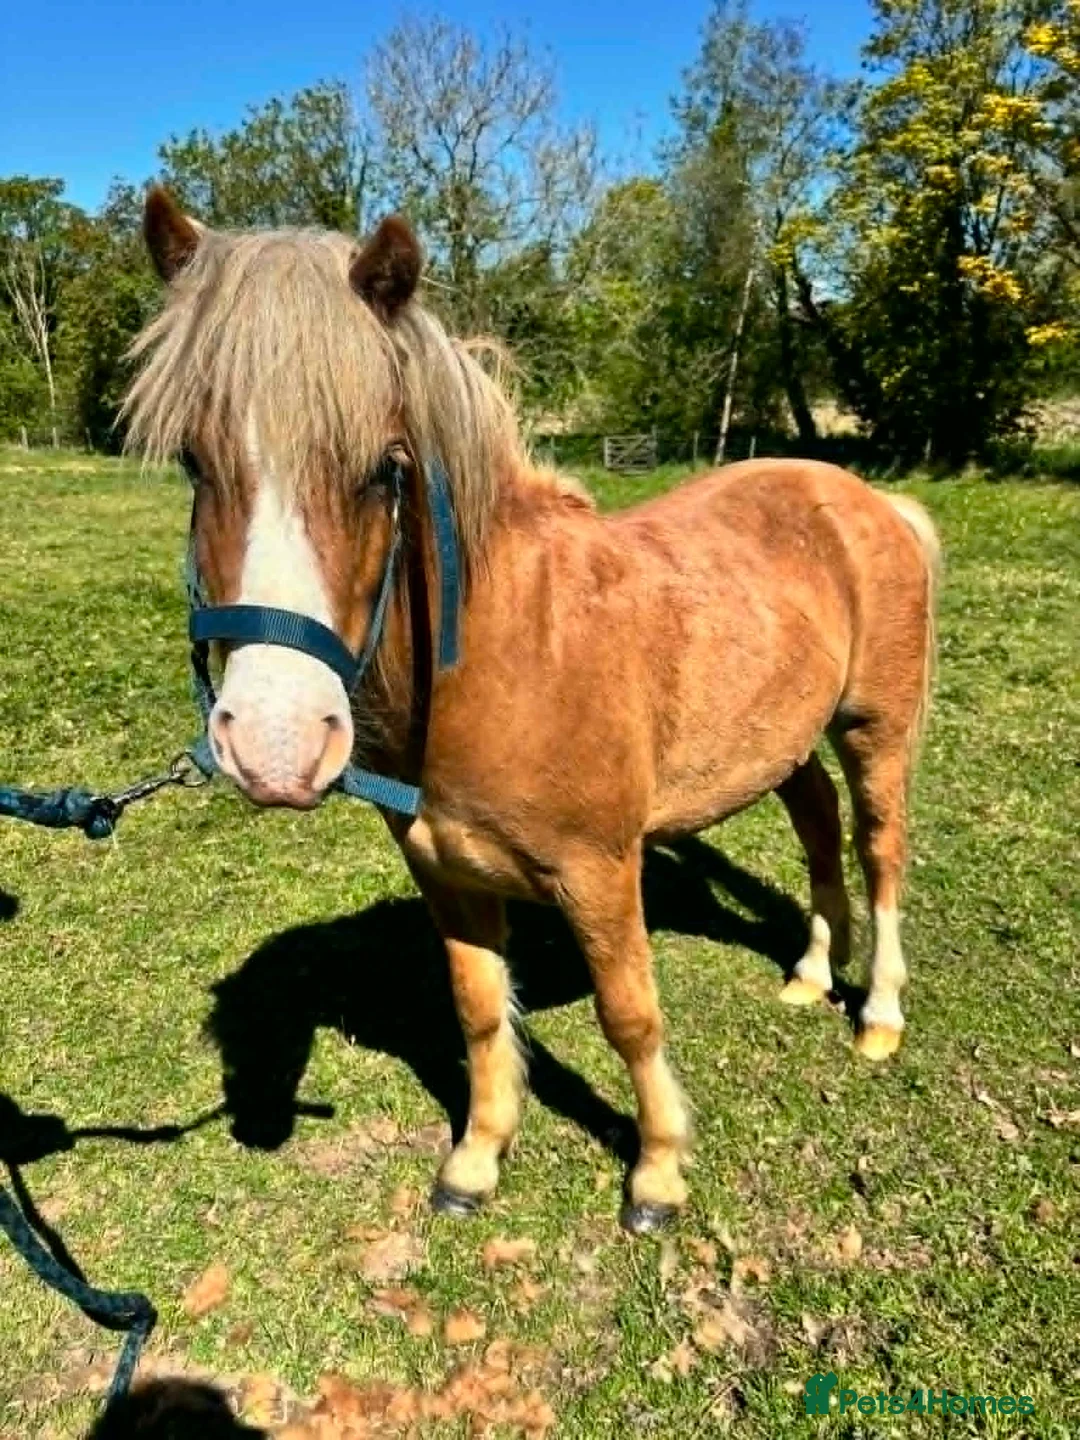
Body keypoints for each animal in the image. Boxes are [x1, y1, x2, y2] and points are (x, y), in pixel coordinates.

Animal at [123, 187, 940, 1233]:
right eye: (195, 462)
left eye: (385, 469)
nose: (274, 744)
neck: (501, 658)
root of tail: (868, 500)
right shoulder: (446, 874)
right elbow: (477, 1009)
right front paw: (476, 1161)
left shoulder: (599, 874)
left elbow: (629, 1015)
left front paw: (658, 1173)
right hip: (785, 743)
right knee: (817, 825)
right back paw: (806, 975)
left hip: (874, 729)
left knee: (879, 850)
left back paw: (877, 1016)